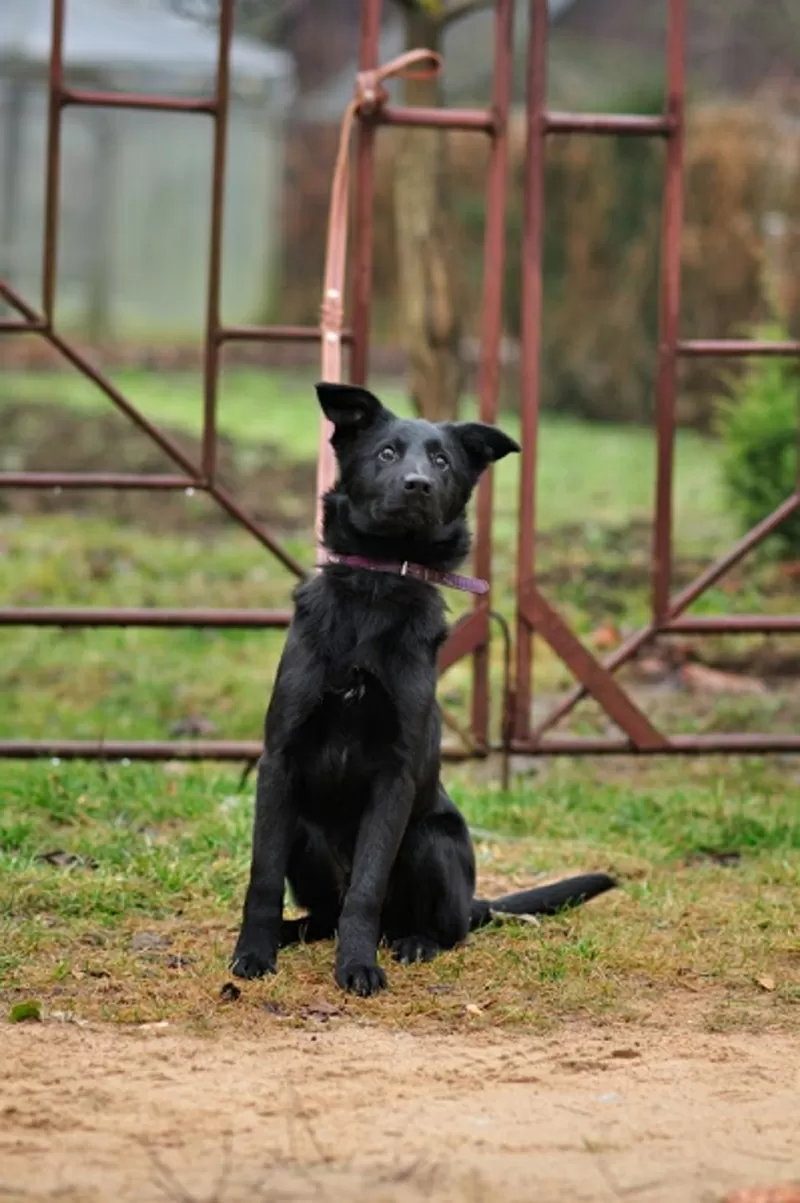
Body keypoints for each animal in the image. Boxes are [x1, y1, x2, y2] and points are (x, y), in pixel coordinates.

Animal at [227, 382, 613, 996]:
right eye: (386, 453)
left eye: (442, 461)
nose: (418, 485)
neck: (376, 589)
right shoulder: (279, 761)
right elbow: (262, 876)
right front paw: (255, 952)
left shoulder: (396, 775)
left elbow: (367, 888)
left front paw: (358, 966)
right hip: (304, 836)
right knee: (324, 915)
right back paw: (294, 932)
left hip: (431, 839)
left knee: (442, 927)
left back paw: (414, 942)